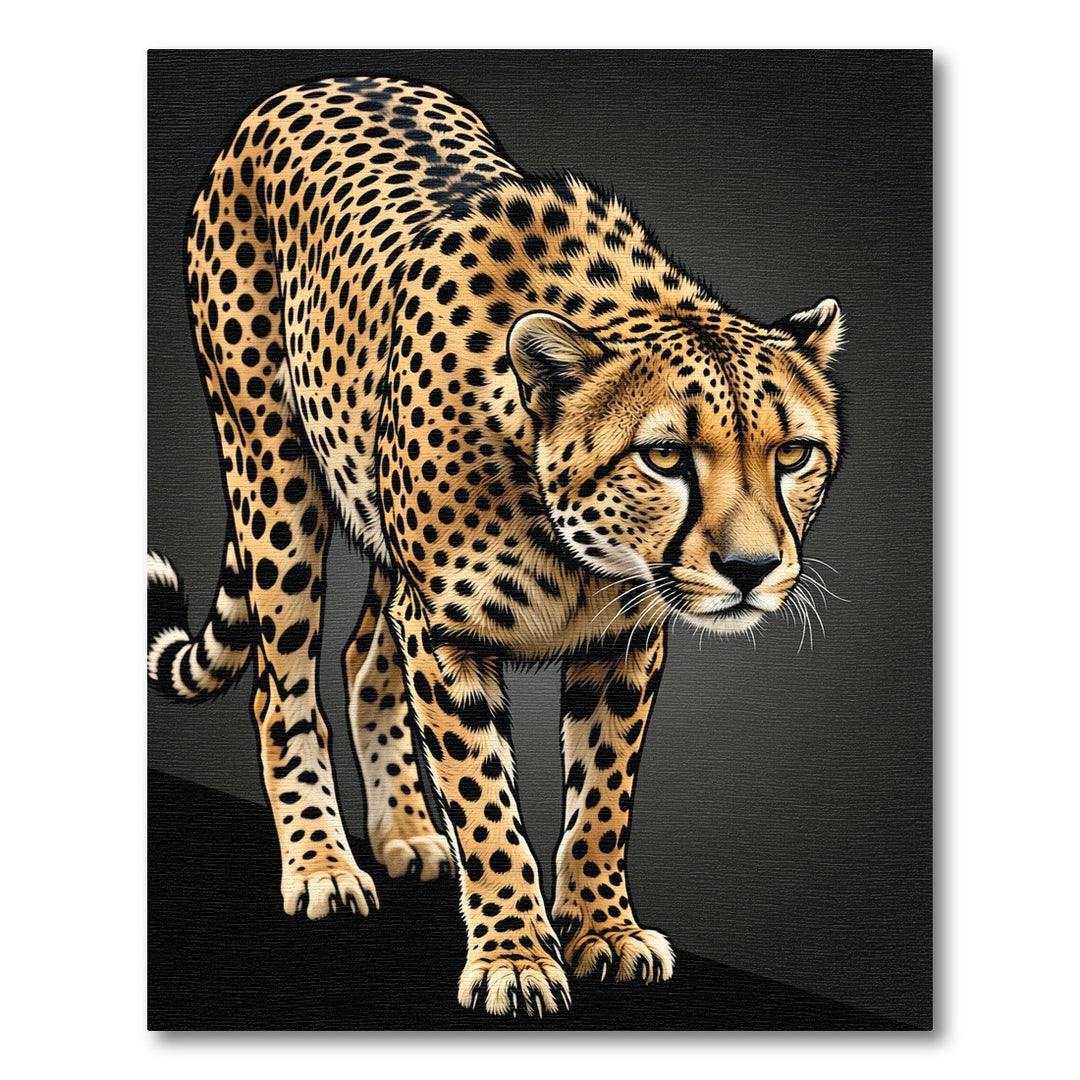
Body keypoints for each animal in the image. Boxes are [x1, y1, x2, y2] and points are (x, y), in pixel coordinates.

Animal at [147, 74, 844, 1019]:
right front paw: (515, 954)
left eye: (794, 454)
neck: (573, 544)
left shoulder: (625, 640)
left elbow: (603, 794)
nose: (752, 570)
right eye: (665, 456)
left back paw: (406, 831)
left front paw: (604, 930)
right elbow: (484, 801)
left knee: (365, 657)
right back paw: (323, 863)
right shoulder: (448, 638)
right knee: (281, 682)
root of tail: (316, 82)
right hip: (272, 473)